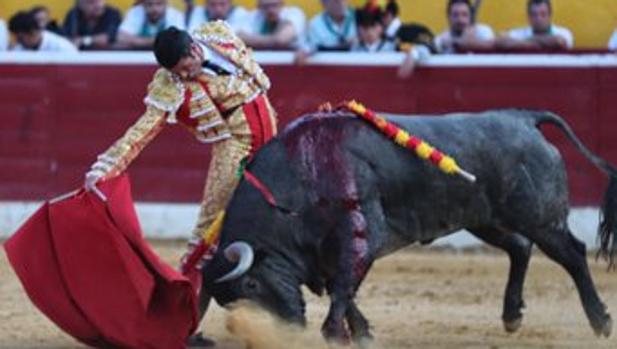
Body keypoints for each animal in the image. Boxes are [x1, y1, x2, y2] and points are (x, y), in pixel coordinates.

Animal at [200, 109, 612, 342]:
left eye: (251, 284)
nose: (286, 330)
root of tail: (524, 120)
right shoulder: (328, 253)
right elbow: (343, 291)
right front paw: (362, 334)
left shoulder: (361, 236)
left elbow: (342, 290)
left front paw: (334, 335)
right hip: (484, 218)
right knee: (520, 247)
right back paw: (512, 317)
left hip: (539, 217)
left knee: (572, 254)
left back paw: (601, 322)